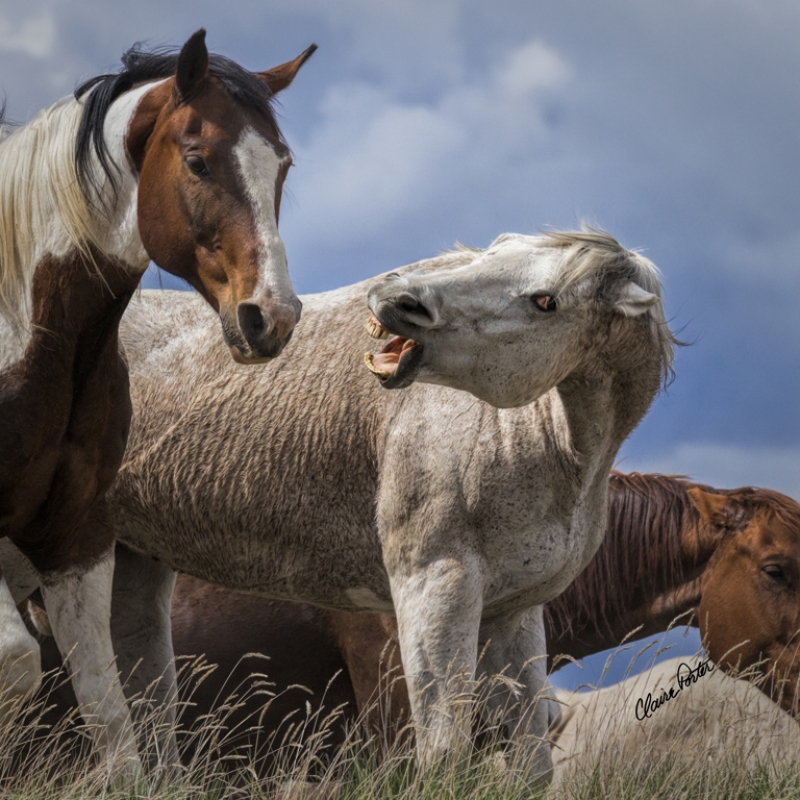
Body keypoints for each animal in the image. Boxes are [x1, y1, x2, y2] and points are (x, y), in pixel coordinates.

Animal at [0, 31, 312, 776]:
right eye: (196, 160)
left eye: (281, 166)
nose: (272, 317)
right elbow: (16, 665)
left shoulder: (75, 543)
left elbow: (111, 719)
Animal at [3, 228, 676, 780]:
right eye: (488, 254)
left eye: (545, 301)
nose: (397, 298)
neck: (540, 440)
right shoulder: (434, 586)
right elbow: (444, 752)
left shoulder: (512, 612)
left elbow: (531, 759)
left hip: (128, 565)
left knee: (142, 704)